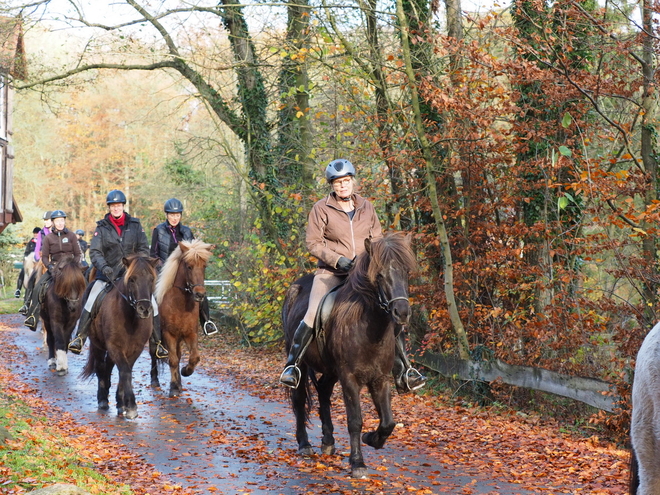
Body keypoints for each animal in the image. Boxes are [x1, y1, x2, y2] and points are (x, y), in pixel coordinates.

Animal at [80, 254, 159, 420]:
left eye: (151, 279)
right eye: (132, 279)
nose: (144, 309)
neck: (131, 318)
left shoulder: (135, 348)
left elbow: (125, 371)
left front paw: (122, 403)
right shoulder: (114, 346)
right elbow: (125, 371)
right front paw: (132, 407)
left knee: (109, 366)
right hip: (97, 344)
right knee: (100, 367)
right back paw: (102, 398)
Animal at [150, 240, 211, 400]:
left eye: (204, 266)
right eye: (189, 266)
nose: (200, 294)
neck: (181, 305)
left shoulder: (191, 333)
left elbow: (194, 357)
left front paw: (185, 372)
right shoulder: (168, 334)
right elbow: (172, 360)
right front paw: (173, 388)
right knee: (154, 354)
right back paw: (155, 380)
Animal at [284, 232, 418, 480]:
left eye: (405, 272)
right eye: (379, 275)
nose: (402, 313)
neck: (368, 328)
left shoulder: (380, 378)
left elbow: (388, 421)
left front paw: (372, 439)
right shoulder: (350, 379)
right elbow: (355, 420)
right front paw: (357, 463)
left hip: (330, 370)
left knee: (323, 392)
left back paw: (328, 441)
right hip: (301, 361)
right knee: (299, 398)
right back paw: (304, 444)